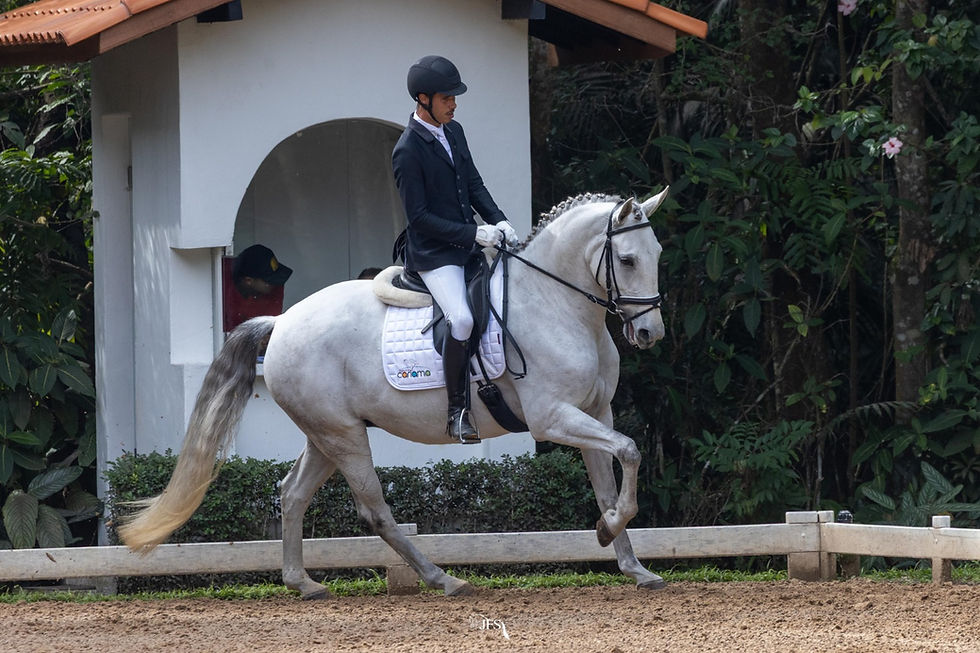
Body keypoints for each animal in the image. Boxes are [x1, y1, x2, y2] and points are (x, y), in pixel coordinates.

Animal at [119, 187, 670, 599]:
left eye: (658, 255)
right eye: (626, 259)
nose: (650, 334)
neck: (555, 303)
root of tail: (282, 321)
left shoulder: (595, 411)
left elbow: (608, 483)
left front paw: (631, 564)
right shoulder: (553, 416)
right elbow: (631, 450)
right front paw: (608, 532)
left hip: (325, 434)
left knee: (292, 492)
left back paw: (303, 583)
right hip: (343, 436)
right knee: (374, 508)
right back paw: (442, 579)